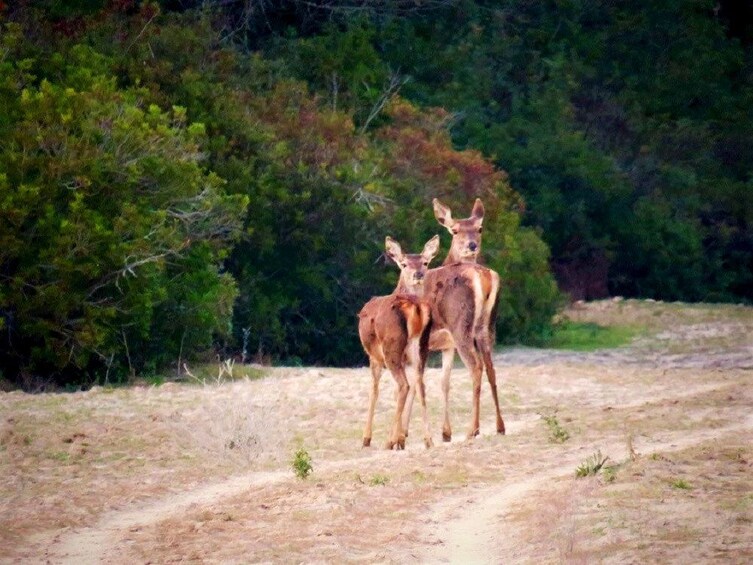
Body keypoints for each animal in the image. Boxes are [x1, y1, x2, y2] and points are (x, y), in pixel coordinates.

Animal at [358, 234, 440, 450]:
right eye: (404, 264)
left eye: (426, 262)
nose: (418, 274)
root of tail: (415, 307)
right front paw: (402, 437)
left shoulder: (373, 356)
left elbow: (374, 390)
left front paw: (367, 438)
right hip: (421, 348)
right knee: (419, 384)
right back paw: (428, 440)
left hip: (391, 348)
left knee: (404, 385)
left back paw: (389, 441)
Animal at [402, 198, 502, 440]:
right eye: (455, 230)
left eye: (480, 228)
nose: (472, 245)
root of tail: (483, 276)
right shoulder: (446, 345)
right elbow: (444, 381)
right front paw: (445, 432)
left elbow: (416, 381)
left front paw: (404, 433)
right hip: (487, 327)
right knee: (491, 367)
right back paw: (499, 426)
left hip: (461, 327)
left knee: (476, 367)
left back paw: (472, 429)